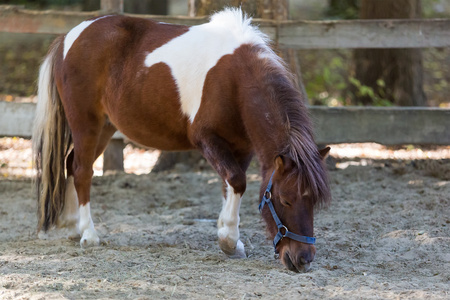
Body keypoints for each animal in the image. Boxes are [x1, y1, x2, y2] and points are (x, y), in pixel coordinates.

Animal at [33, 8, 330, 272]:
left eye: (315, 201)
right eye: (285, 200)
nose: (303, 259)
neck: (236, 78)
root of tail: (69, 38)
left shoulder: (243, 146)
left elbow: (230, 186)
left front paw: (230, 239)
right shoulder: (206, 139)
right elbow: (237, 181)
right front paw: (228, 240)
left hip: (105, 128)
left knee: (71, 165)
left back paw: (73, 226)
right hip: (86, 124)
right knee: (82, 171)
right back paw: (89, 234)